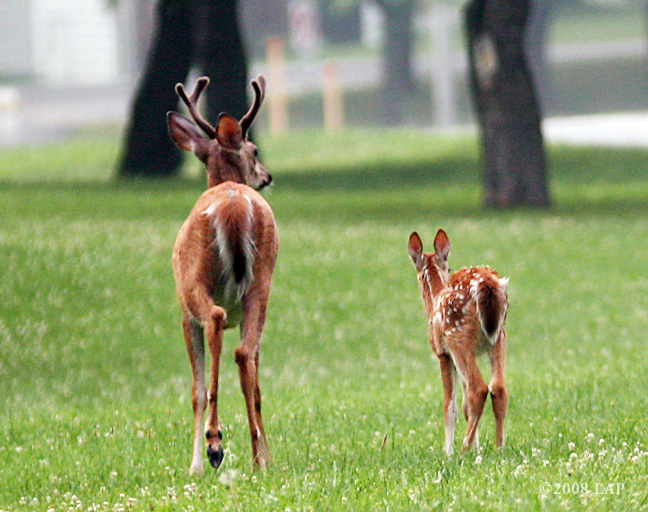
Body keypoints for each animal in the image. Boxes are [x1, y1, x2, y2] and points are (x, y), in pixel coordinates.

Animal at [166, 75, 277, 474]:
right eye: (255, 150)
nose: (267, 176)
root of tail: (233, 205)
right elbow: (254, 381)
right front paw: (265, 455)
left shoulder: (184, 313)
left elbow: (197, 391)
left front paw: (195, 463)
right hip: (261, 282)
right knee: (246, 355)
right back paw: (258, 458)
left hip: (198, 281)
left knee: (215, 319)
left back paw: (216, 443)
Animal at [408, 229, 508, 457]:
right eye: (449, 266)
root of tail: (487, 285)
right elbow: (464, 406)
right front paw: (477, 448)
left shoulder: (442, 353)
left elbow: (450, 405)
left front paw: (449, 451)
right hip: (498, 337)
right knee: (498, 387)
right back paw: (499, 446)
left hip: (457, 337)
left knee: (479, 389)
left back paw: (462, 449)